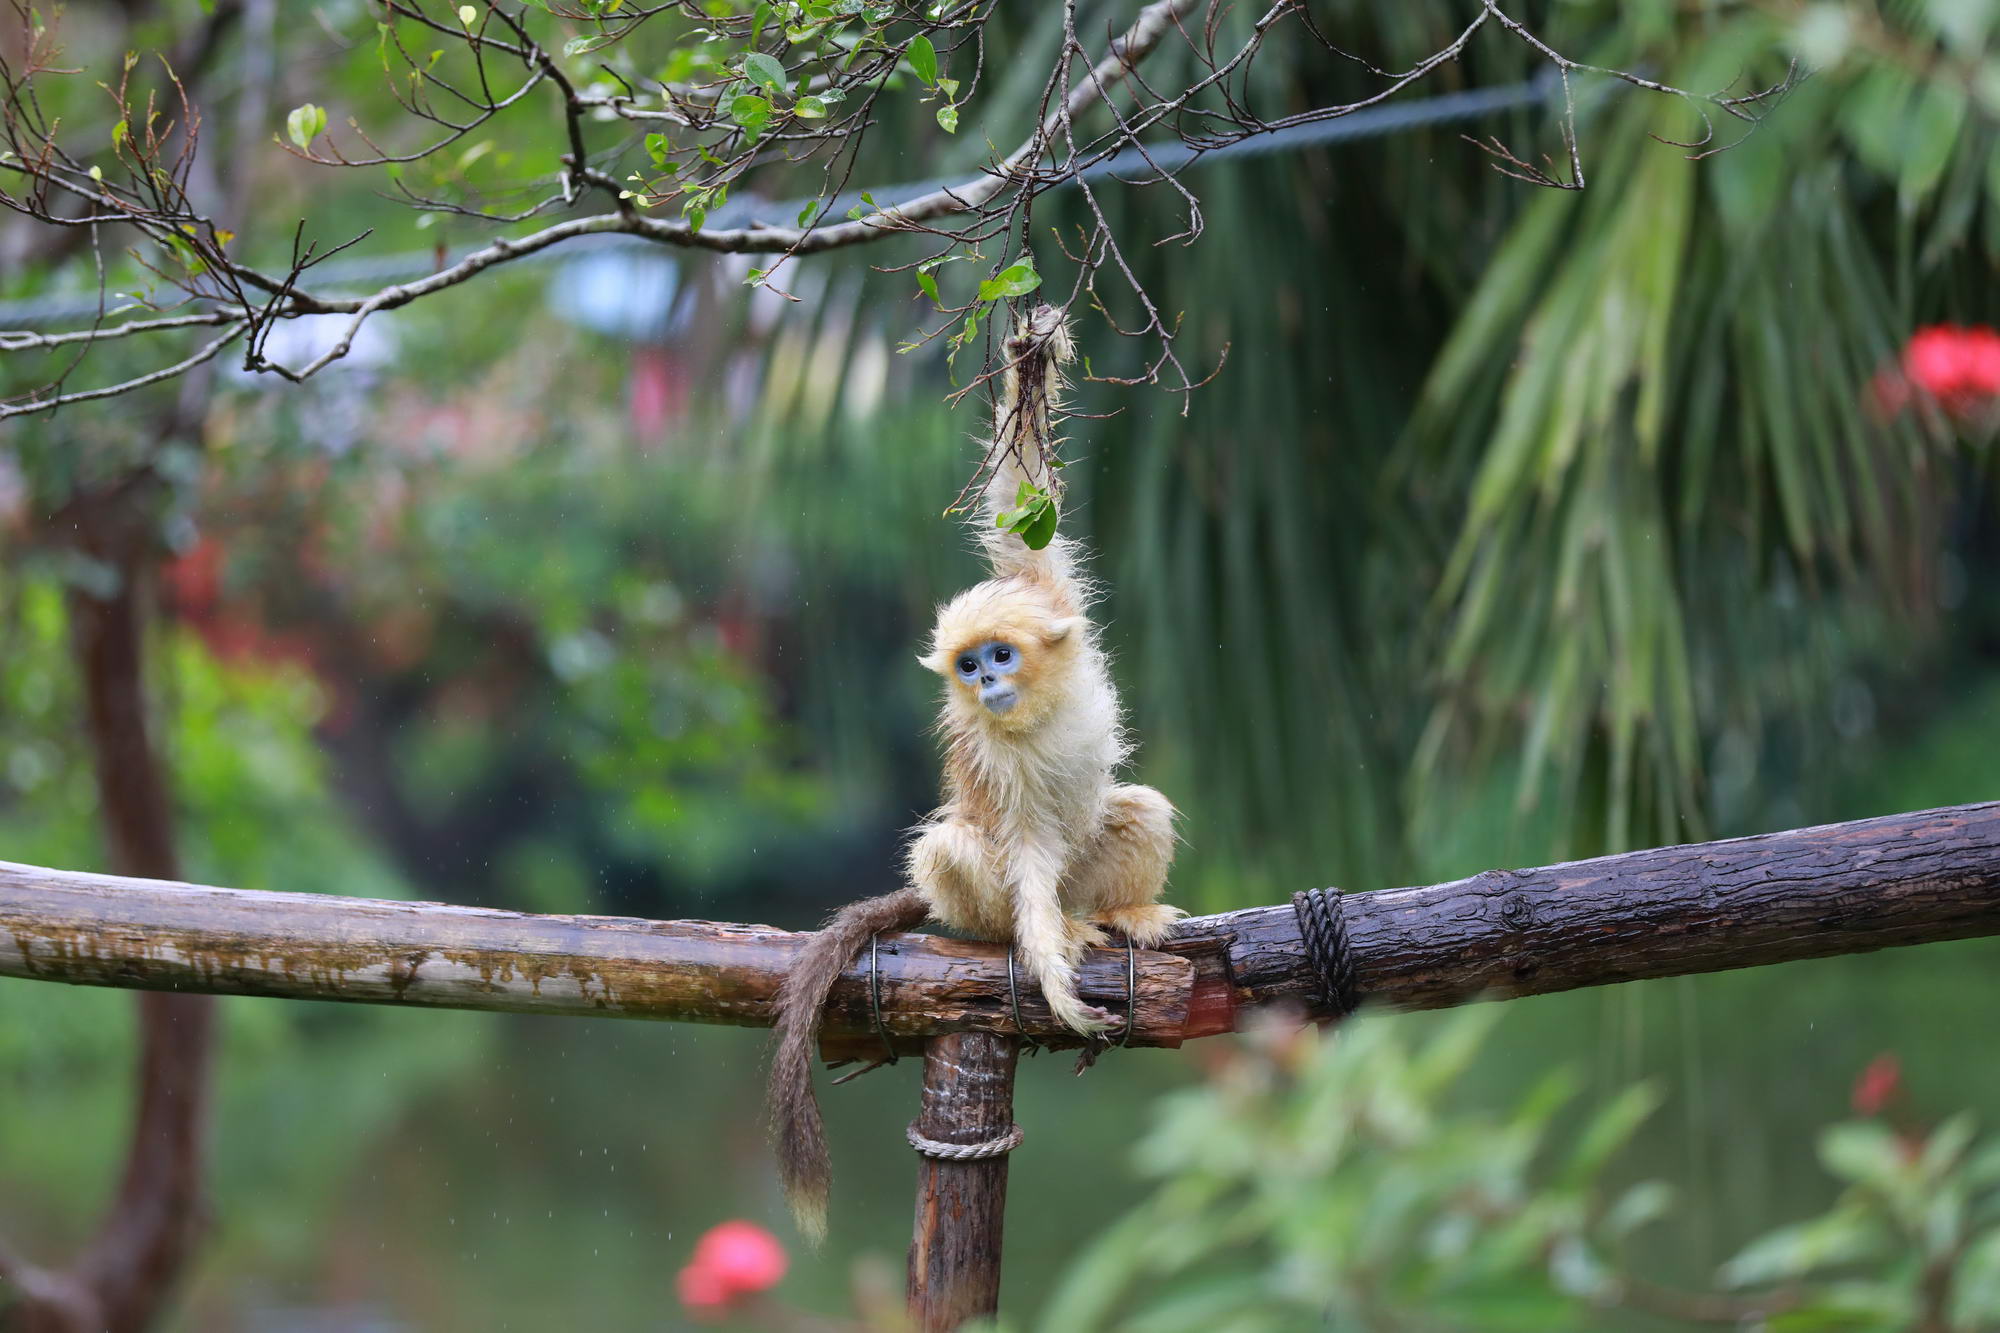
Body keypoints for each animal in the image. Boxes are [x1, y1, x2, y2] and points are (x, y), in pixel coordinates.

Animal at [760, 300, 1168, 1232]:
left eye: (999, 655)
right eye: (968, 665)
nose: (983, 681)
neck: (1037, 711)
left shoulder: (1049, 593)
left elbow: (1023, 508)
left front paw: (1030, 357)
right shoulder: (994, 760)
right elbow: (1021, 846)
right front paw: (1050, 973)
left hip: (1090, 873)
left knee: (1138, 808)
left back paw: (1120, 909)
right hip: (986, 900)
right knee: (958, 854)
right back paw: (1032, 934)